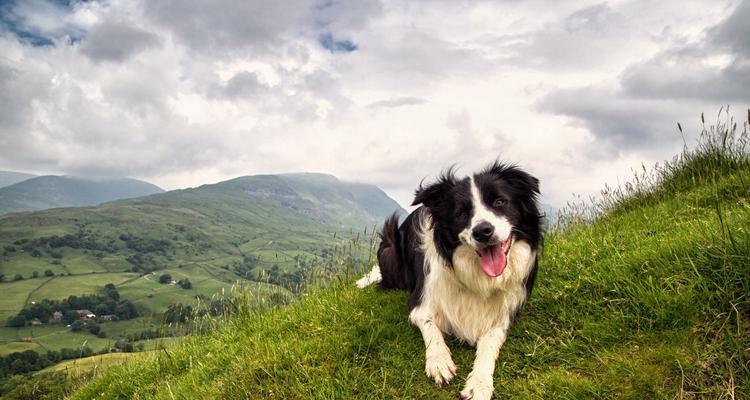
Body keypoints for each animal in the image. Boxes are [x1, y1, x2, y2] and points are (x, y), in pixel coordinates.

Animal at [356, 162, 544, 400]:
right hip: (389, 246)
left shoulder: (503, 316)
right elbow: (431, 328)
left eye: (500, 202)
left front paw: (480, 383)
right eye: (461, 212)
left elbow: (489, 345)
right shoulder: (421, 303)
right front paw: (439, 361)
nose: (483, 231)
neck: (477, 277)